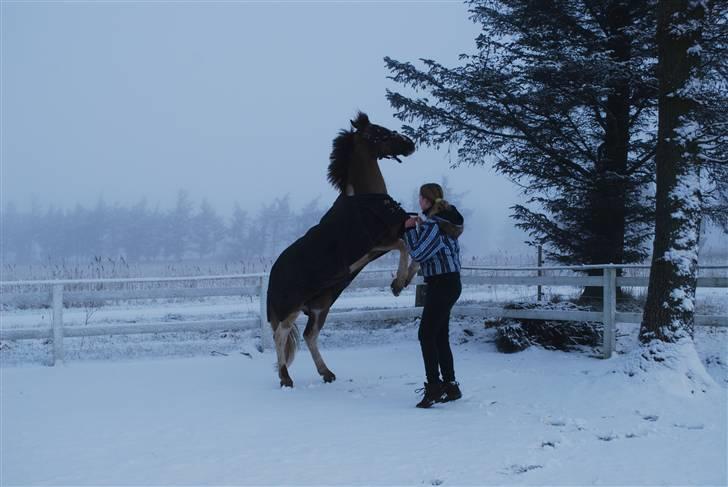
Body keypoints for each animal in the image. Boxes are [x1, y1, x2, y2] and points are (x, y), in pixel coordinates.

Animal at [266, 113, 420, 388]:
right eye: (378, 132)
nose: (409, 143)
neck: (365, 200)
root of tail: (273, 275)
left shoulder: (388, 239)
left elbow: (417, 246)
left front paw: (405, 280)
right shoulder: (376, 244)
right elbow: (404, 247)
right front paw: (397, 284)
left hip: (321, 305)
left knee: (309, 335)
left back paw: (326, 373)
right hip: (291, 308)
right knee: (281, 335)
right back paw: (285, 378)